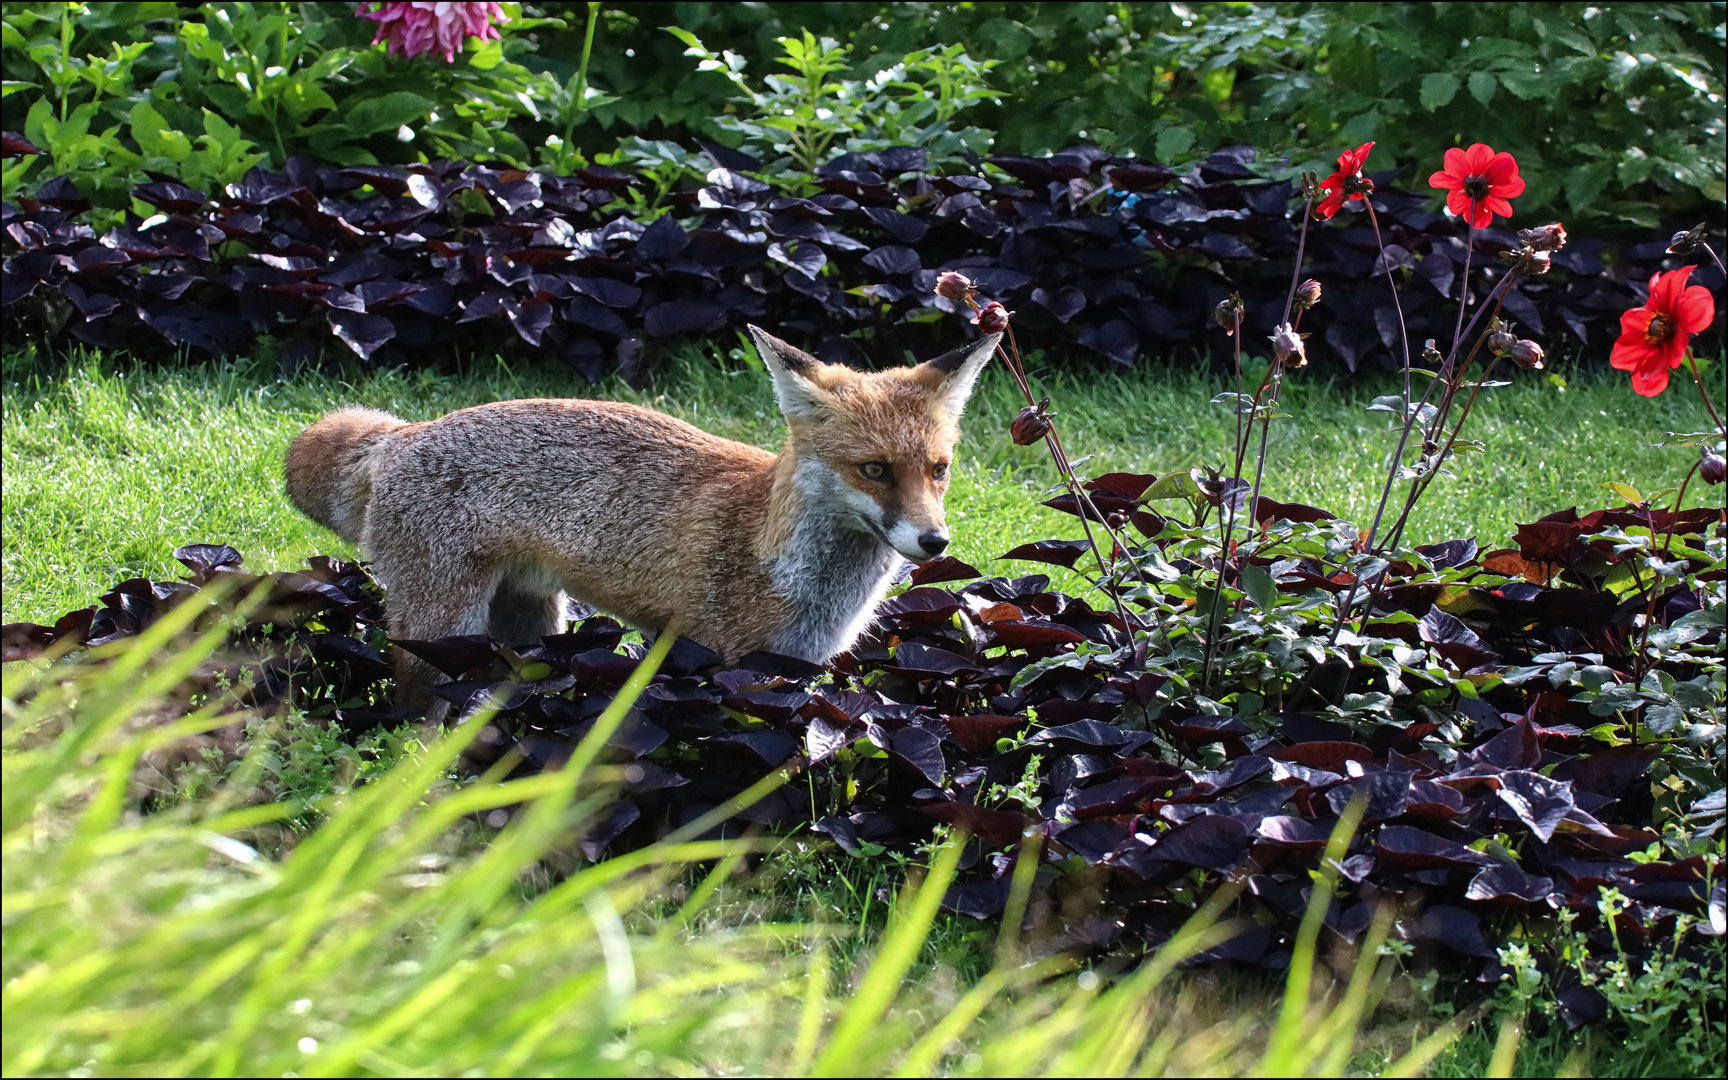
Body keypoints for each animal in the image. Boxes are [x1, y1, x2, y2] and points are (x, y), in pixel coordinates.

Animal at [283, 324, 1002, 705]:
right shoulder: (723, 666)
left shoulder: (797, 673)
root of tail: (405, 432)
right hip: (443, 637)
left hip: (532, 628)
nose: (935, 542)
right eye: (874, 470)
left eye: (939, 470)